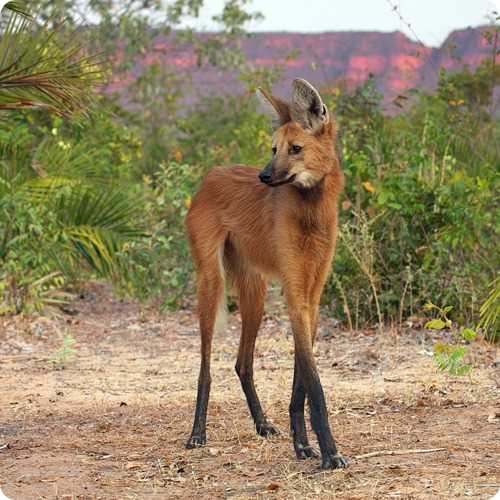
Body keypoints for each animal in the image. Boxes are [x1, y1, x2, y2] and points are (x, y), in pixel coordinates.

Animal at [186, 78, 346, 468]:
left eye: (296, 149)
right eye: (274, 149)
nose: (263, 175)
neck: (311, 212)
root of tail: (211, 174)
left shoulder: (312, 296)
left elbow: (301, 379)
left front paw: (304, 445)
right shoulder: (294, 292)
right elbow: (314, 382)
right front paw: (329, 452)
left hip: (255, 294)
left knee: (242, 363)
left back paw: (261, 424)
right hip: (212, 283)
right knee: (205, 366)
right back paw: (197, 433)